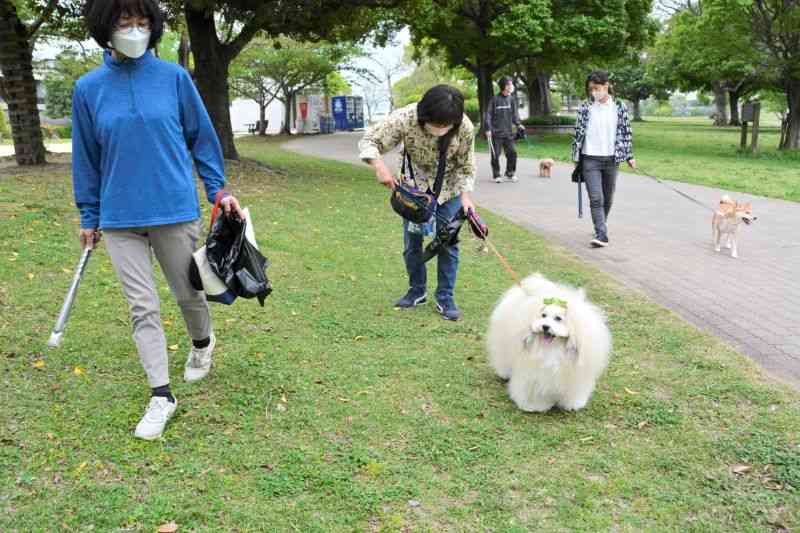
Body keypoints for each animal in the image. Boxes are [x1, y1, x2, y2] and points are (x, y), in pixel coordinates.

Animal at [488, 274, 612, 412]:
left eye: (558, 318)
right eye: (543, 315)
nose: (545, 327)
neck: (553, 348)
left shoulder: (575, 377)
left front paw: (572, 404)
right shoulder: (534, 375)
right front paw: (534, 406)